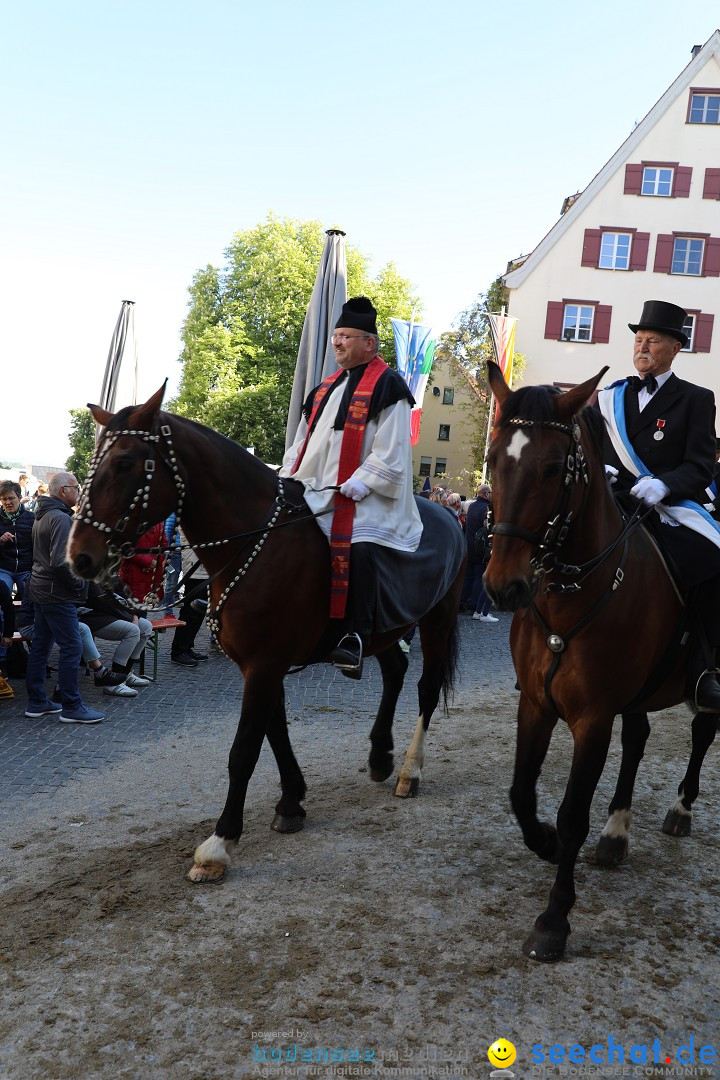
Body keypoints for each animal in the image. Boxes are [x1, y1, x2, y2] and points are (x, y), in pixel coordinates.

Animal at [66, 388, 462, 885]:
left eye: (125, 462)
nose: (79, 557)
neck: (256, 542)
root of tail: (448, 515)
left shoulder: (265, 664)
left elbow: (245, 748)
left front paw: (220, 843)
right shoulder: (259, 665)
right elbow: (274, 731)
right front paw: (292, 801)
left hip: (437, 619)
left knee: (426, 688)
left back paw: (410, 769)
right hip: (386, 630)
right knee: (396, 671)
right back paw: (380, 757)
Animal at [481, 360, 716, 963]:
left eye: (552, 467)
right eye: (493, 460)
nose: (501, 586)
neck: (572, 590)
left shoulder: (592, 718)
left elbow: (571, 815)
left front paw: (554, 920)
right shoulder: (537, 704)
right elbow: (521, 793)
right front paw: (540, 840)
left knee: (704, 730)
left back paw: (680, 810)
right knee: (638, 740)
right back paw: (617, 832)